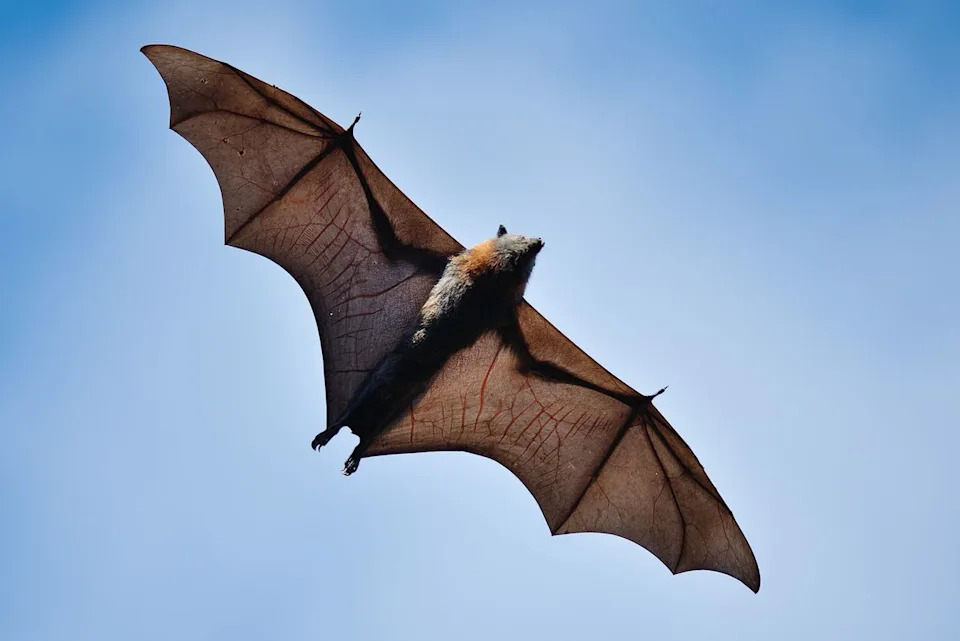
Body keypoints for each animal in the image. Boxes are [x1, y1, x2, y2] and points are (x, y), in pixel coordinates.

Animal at [311, 225, 545, 474]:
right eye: (521, 236)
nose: (539, 240)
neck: (498, 273)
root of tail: (358, 425)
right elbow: (390, 242)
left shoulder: (506, 313)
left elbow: (530, 361)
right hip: (383, 375)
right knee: (360, 400)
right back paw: (328, 434)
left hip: (407, 400)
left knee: (381, 423)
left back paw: (355, 456)